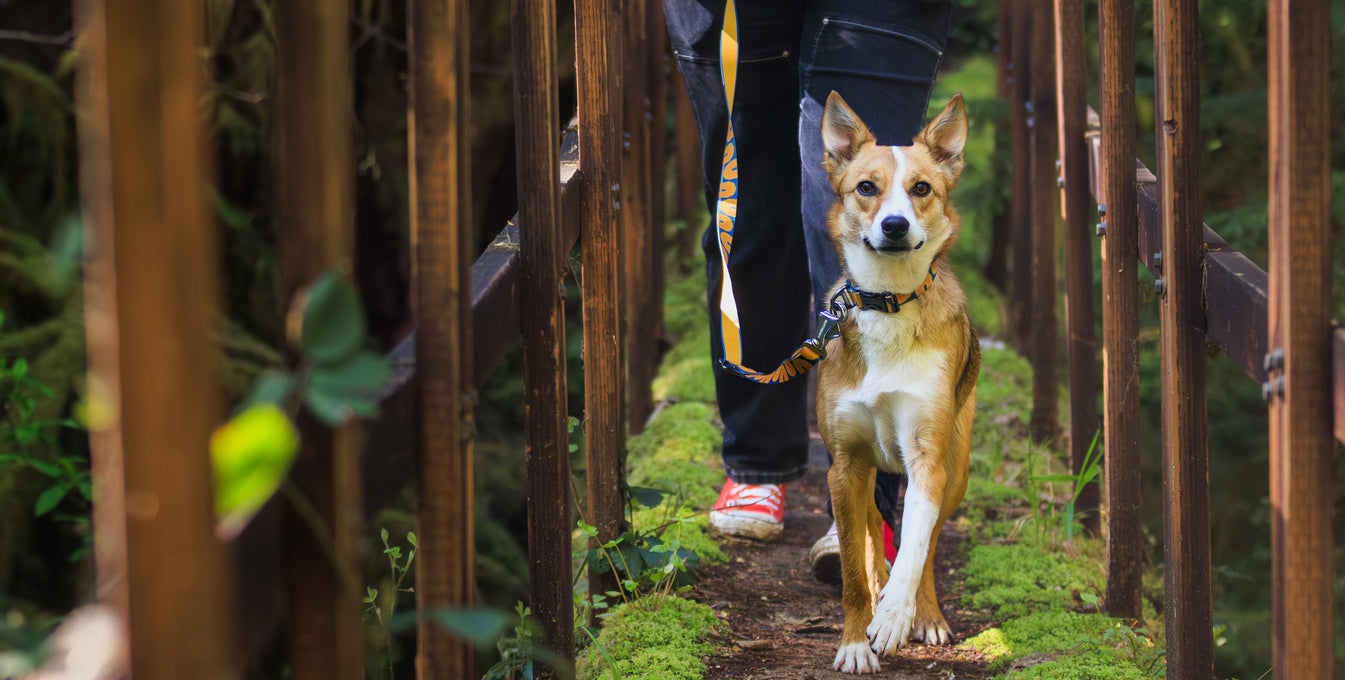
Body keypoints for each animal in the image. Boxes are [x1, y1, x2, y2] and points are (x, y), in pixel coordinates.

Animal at [815, 92, 980, 674]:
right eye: (867, 187)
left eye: (921, 188)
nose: (893, 225)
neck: (888, 303)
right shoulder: (844, 464)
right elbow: (852, 570)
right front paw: (853, 641)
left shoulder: (928, 456)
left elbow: (913, 546)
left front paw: (893, 618)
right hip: (860, 472)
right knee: (868, 535)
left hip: (956, 467)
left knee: (923, 544)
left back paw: (923, 613)